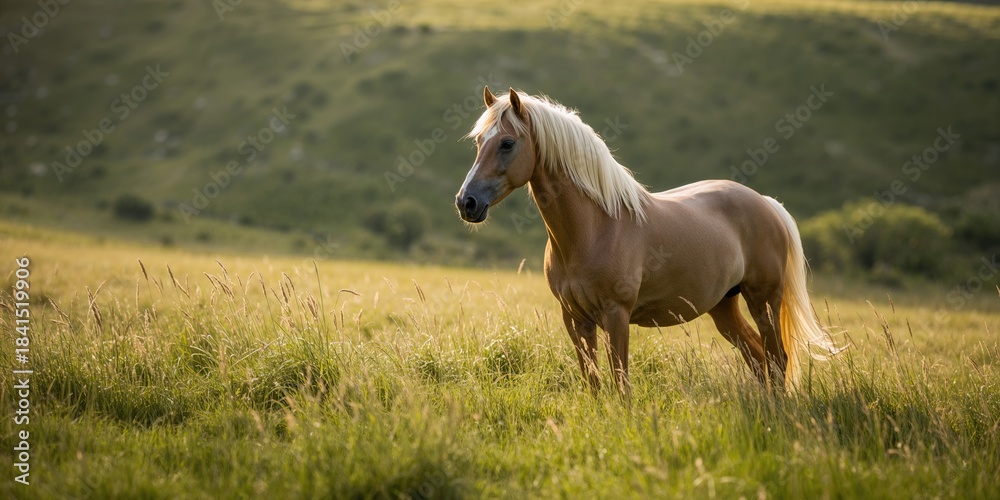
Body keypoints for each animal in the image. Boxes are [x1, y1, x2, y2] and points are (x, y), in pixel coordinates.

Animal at [455, 87, 842, 397]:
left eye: (507, 143)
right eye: (478, 142)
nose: (466, 202)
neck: (595, 229)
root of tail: (766, 203)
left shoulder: (616, 316)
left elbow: (621, 382)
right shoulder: (575, 319)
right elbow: (593, 383)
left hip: (764, 300)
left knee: (778, 359)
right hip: (724, 306)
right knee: (758, 357)